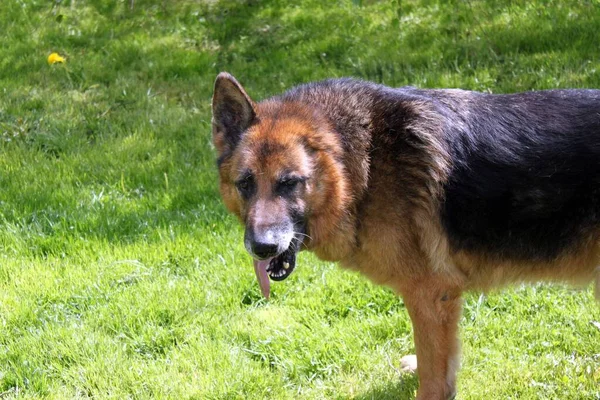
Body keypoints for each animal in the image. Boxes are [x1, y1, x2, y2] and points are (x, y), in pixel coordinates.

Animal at [211, 72, 600, 400]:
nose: (262, 248)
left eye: (289, 183)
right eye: (245, 184)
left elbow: (434, 376)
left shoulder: (429, 296)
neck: (363, 168)